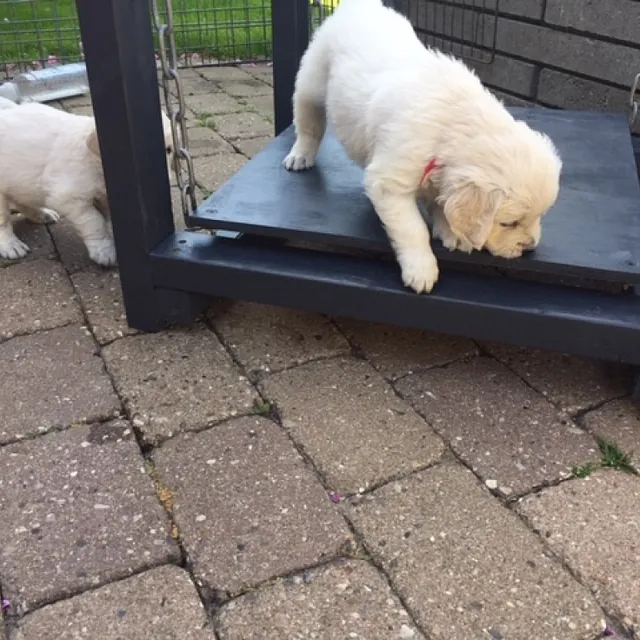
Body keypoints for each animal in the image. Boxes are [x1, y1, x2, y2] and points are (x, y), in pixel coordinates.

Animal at [0, 96, 174, 266]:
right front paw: (104, 251)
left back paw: (42, 214)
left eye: (169, 150)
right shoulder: (71, 198)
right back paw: (11, 246)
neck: (95, 162)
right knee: (4, 221)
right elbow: (94, 221)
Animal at [284, 0, 562, 293]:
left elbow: (441, 202)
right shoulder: (391, 182)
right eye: (509, 223)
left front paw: (451, 232)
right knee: (308, 124)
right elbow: (413, 228)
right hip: (312, 81)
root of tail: (358, 6)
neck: (451, 126)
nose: (530, 248)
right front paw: (422, 269)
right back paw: (300, 155)